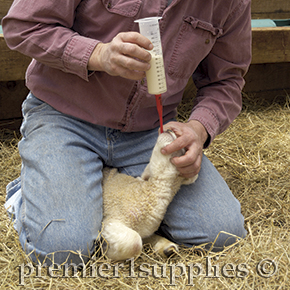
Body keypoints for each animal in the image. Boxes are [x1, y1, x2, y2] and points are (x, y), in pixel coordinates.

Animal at [101, 130, 198, 260]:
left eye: (182, 151)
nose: (169, 130)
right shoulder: (112, 219)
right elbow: (135, 242)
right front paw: (107, 251)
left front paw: (166, 247)